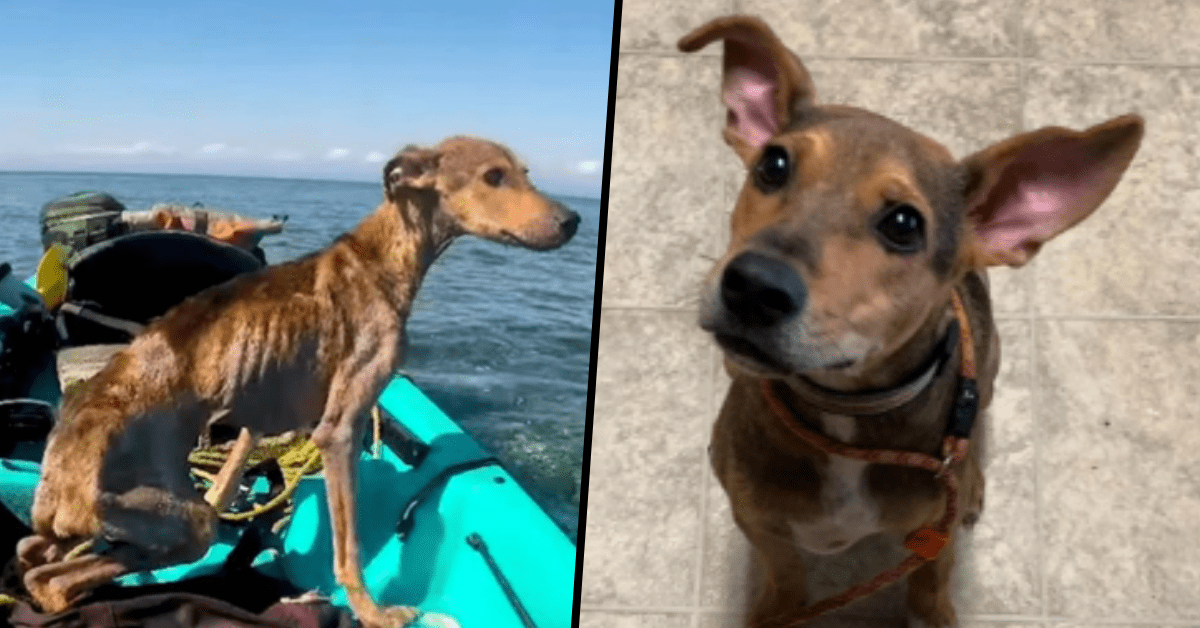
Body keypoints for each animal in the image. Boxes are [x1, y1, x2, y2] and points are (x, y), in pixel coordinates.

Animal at [17, 135, 580, 624]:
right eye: (493, 176)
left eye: (526, 173)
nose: (573, 220)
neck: (381, 257)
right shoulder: (340, 430)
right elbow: (348, 547)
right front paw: (374, 614)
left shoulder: (257, 420)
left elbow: (233, 472)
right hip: (182, 520)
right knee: (53, 574)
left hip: (136, 522)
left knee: (39, 563)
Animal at [681, 14, 1137, 628]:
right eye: (773, 165)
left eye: (904, 224)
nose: (752, 286)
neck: (846, 423)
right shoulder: (760, 524)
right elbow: (786, 577)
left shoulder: (932, 539)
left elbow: (929, 584)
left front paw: (932, 611)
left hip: (991, 370)